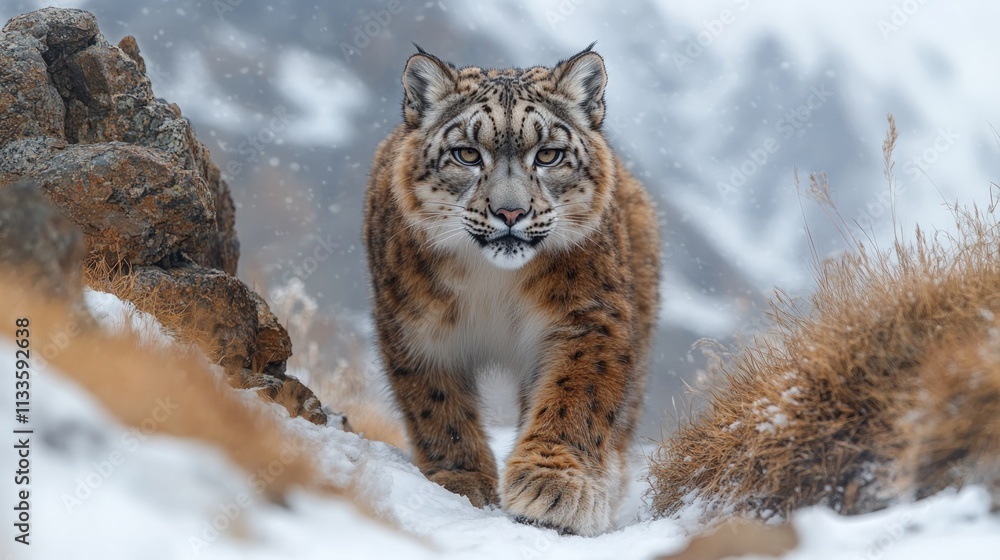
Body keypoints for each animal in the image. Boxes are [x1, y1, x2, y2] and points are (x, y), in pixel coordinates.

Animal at [363, 45, 661, 536]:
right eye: (467, 153)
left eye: (549, 155)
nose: (510, 212)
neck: (494, 284)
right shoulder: (417, 328)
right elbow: (437, 405)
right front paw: (460, 478)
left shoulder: (587, 317)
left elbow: (574, 395)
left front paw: (553, 484)